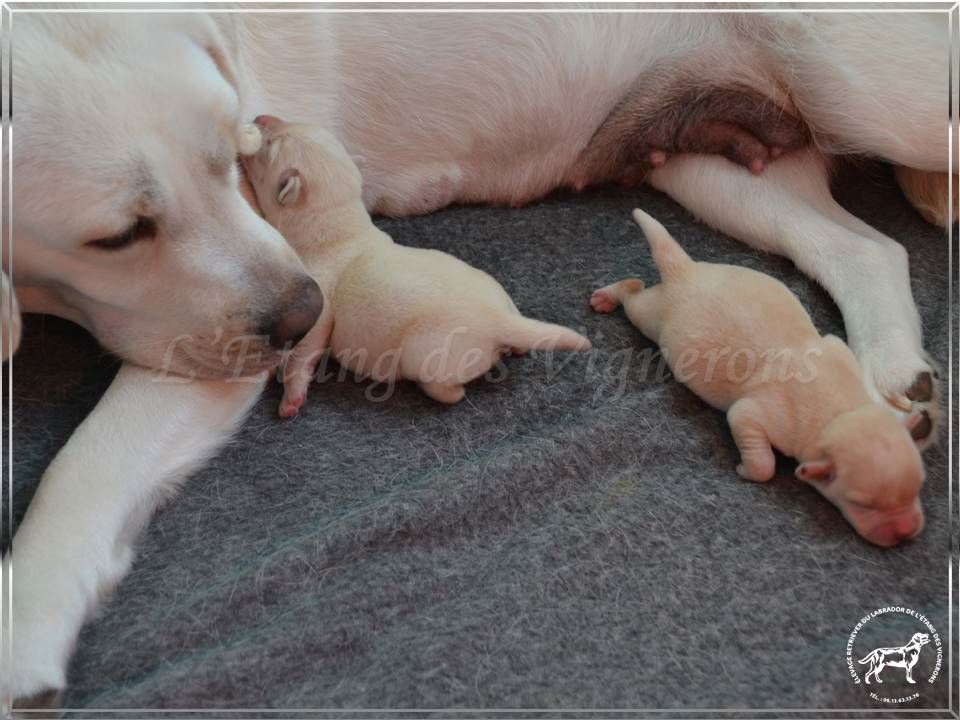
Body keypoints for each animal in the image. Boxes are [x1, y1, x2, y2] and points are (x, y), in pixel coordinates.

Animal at [242, 118, 584, 416]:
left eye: (270, 146)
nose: (259, 117)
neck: (336, 225)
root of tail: (499, 319)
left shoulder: (318, 307)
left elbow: (305, 350)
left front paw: (291, 396)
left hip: (424, 353)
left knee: (448, 389)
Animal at [588, 208, 928, 544]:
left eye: (917, 488)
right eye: (863, 504)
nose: (905, 534)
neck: (841, 410)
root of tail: (684, 270)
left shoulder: (838, 350)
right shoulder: (761, 415)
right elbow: (752, 435)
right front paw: (746, 468)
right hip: (652, 316)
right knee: (634, 297)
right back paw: (611, 295)